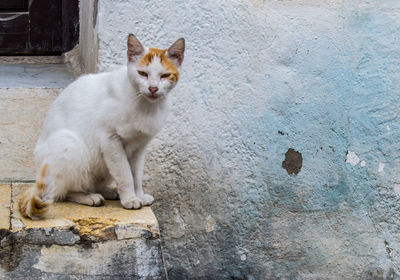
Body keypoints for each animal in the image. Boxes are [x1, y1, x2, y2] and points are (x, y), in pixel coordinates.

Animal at [19, 34, 185, 219]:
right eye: (143, 73)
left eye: (165, 75)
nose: (153, 88)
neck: (145, 105)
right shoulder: (110, 139)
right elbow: (124, 173)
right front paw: (130, 199)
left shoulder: (140, 146)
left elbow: (136, 175)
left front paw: (139, 195)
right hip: (70, 144)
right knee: (60, 193)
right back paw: (90, 197)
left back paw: (109, 191)